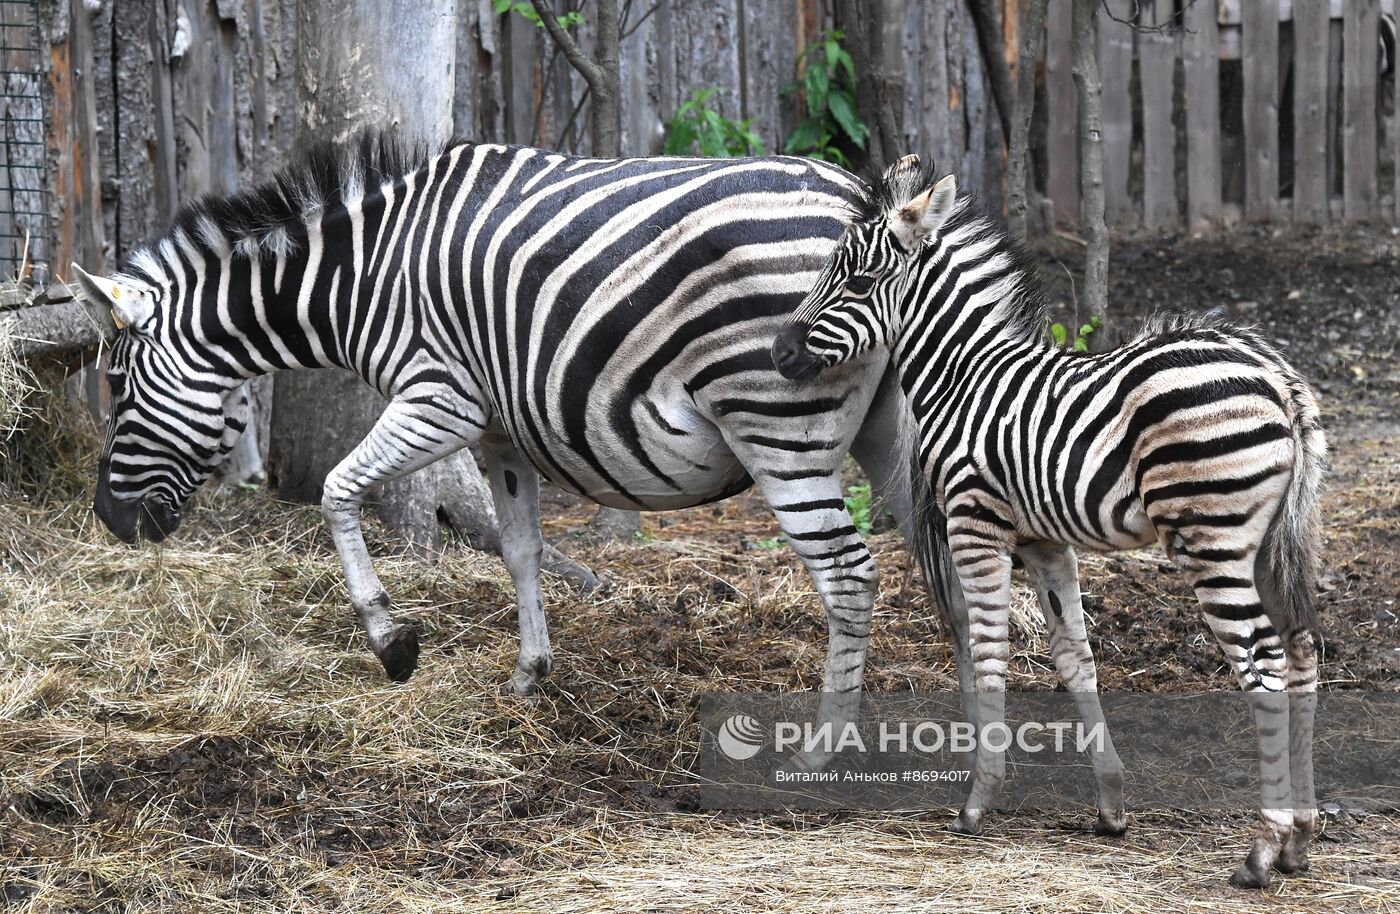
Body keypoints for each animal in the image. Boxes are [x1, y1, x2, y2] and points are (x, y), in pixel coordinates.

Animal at [73, 135, 918, 702]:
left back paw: (827, 744)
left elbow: (339, 491)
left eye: (114, 383)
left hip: (778, 426)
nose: (110, 519)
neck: (363, 279)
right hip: (896, 425)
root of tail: (861, 200)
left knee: (847, 575)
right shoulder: (503, 432)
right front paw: (529, 675)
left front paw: (392, 642)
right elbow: (521, 551)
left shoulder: (438, 399)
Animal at [772, 155, 1327, 884]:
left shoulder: (977, 523)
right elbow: (1075, 657)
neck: (960, 374)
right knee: (1302, 650)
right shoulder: (1044, 542)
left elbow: (988, 649)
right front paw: (1111, 804)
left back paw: (1263, 847)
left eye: (857, 281)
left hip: (1215, 541)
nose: (779, 353)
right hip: (1267, 543)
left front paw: (978, 801)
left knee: (1264, 662)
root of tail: (1277, 376)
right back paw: (1298, 840)